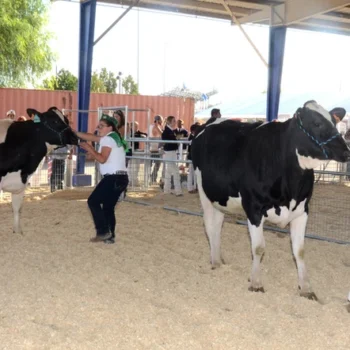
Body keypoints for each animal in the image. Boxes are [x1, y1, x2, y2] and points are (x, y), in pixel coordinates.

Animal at [191, 100, 350, 300]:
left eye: (334, 122)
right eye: (316, 123)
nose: (346, 152)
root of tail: (211, 123)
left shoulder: (303, 210)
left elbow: (300, 250)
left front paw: (306, 288)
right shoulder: (254, 209)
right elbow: (258, 247)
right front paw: (256, 282)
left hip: (221, 198)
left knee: (218, 226)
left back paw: (219, 257)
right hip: (204, 193)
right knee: (210, 226)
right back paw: (214, 261)